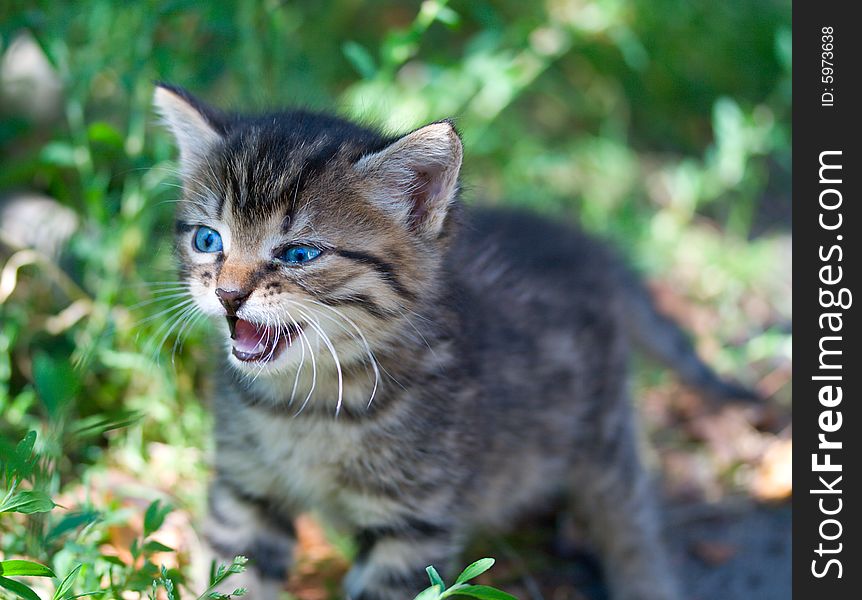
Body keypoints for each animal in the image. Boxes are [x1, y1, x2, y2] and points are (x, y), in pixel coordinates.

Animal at [155, 81, 756, 600]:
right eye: (208, 240)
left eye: (299, 254)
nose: (228, 293)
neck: (306, 405)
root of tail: (590, 249)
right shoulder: (246, 493)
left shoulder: (410, 525)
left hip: (602, 435)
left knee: (630, 517)